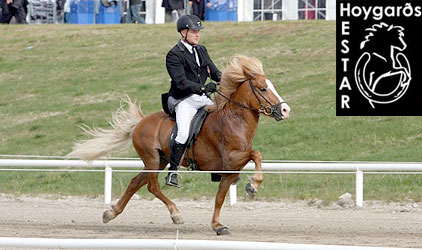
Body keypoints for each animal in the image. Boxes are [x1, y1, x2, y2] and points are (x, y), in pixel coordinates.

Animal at [68, 54, 290, 234]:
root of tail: (140, 122)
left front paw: (217, 225)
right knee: (153, 187)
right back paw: (176, 213)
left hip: (159, 161)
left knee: (135, 183)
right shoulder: (232, 158)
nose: (285, 110)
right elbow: (256, 153)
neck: (234, 120)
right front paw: (253, 185)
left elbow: (220, 197)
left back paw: (111, 213)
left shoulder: (230, 171)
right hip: (152, 159)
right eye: (263, 89)